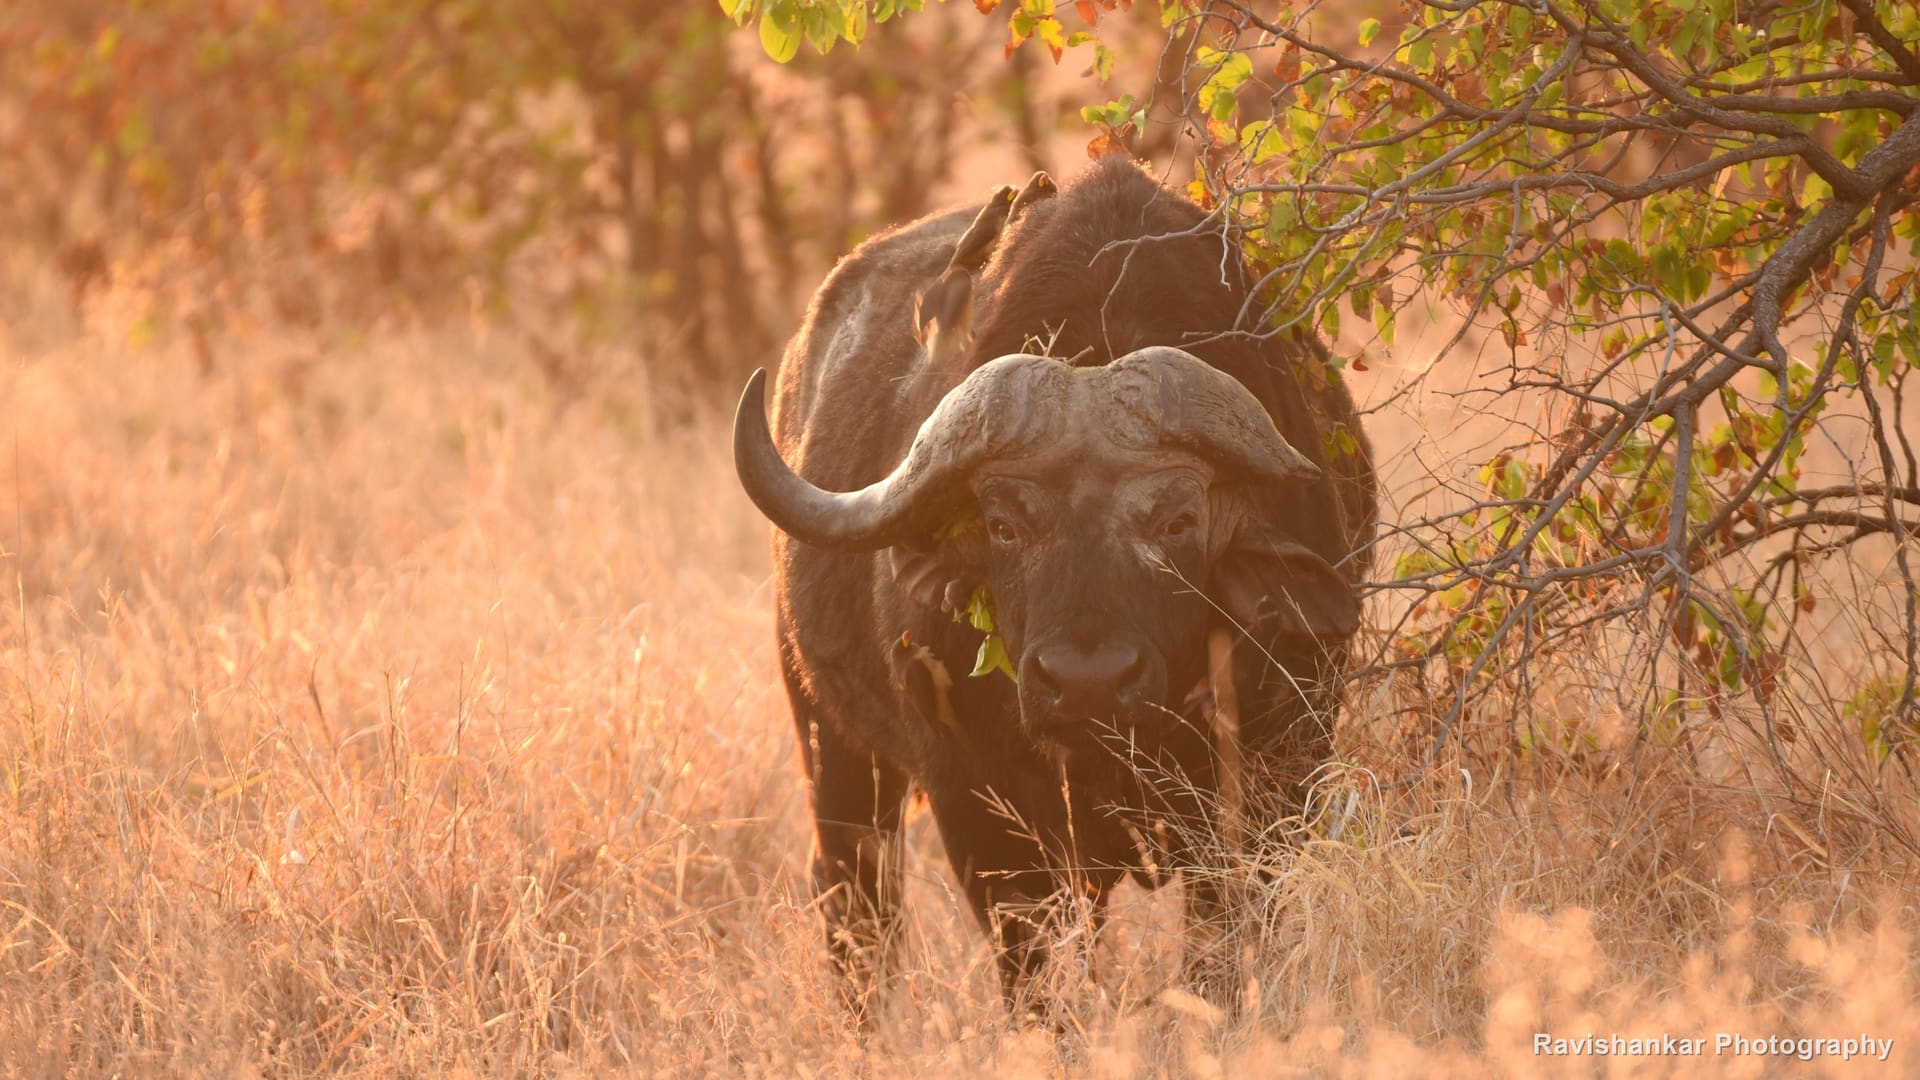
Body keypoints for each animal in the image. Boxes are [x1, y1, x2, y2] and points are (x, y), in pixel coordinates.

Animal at [731, 157, 1376, 1025]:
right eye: (1004, 524)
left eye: (1177, 519)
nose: (1086, 682)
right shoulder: (980, 802)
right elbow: (1035, 970)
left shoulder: (1276, 776)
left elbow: (1221, 946)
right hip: (829, 741)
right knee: (857, 907)